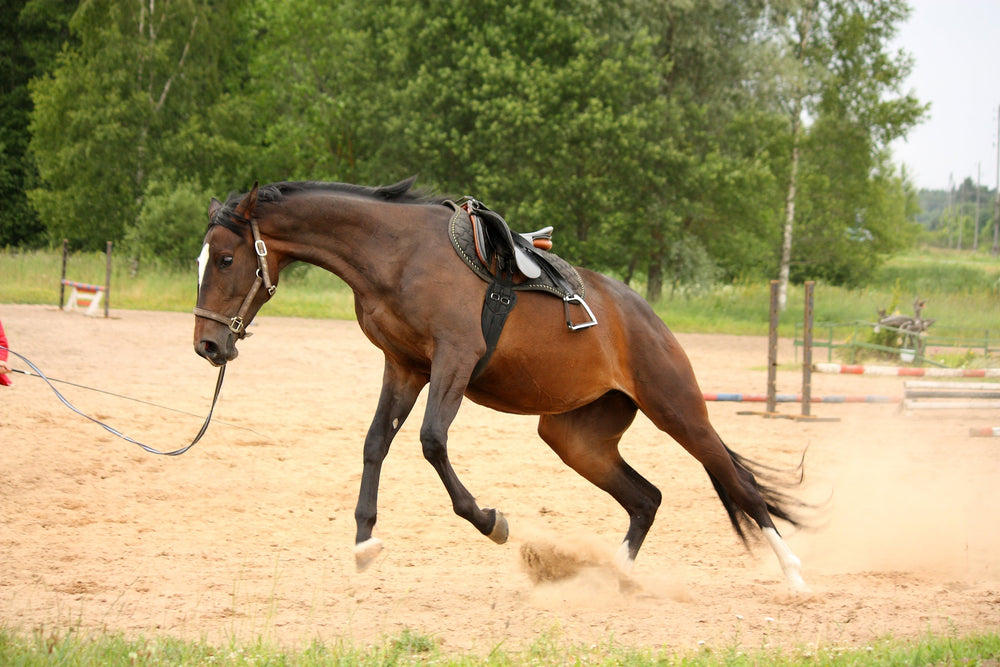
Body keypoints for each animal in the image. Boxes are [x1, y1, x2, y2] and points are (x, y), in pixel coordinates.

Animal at [193, 177, 809, 591]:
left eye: (224, 259)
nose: (208, 346)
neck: (397, 255)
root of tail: (647, 320)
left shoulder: (454, 360)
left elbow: (431, 442)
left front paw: (491, 521)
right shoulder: (404, 366)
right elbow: (375, 444)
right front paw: (365, 542)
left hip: (678, 410)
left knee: (740, 484)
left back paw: (794, 574)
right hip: (576, 438)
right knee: (647, 498)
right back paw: (613, 577)